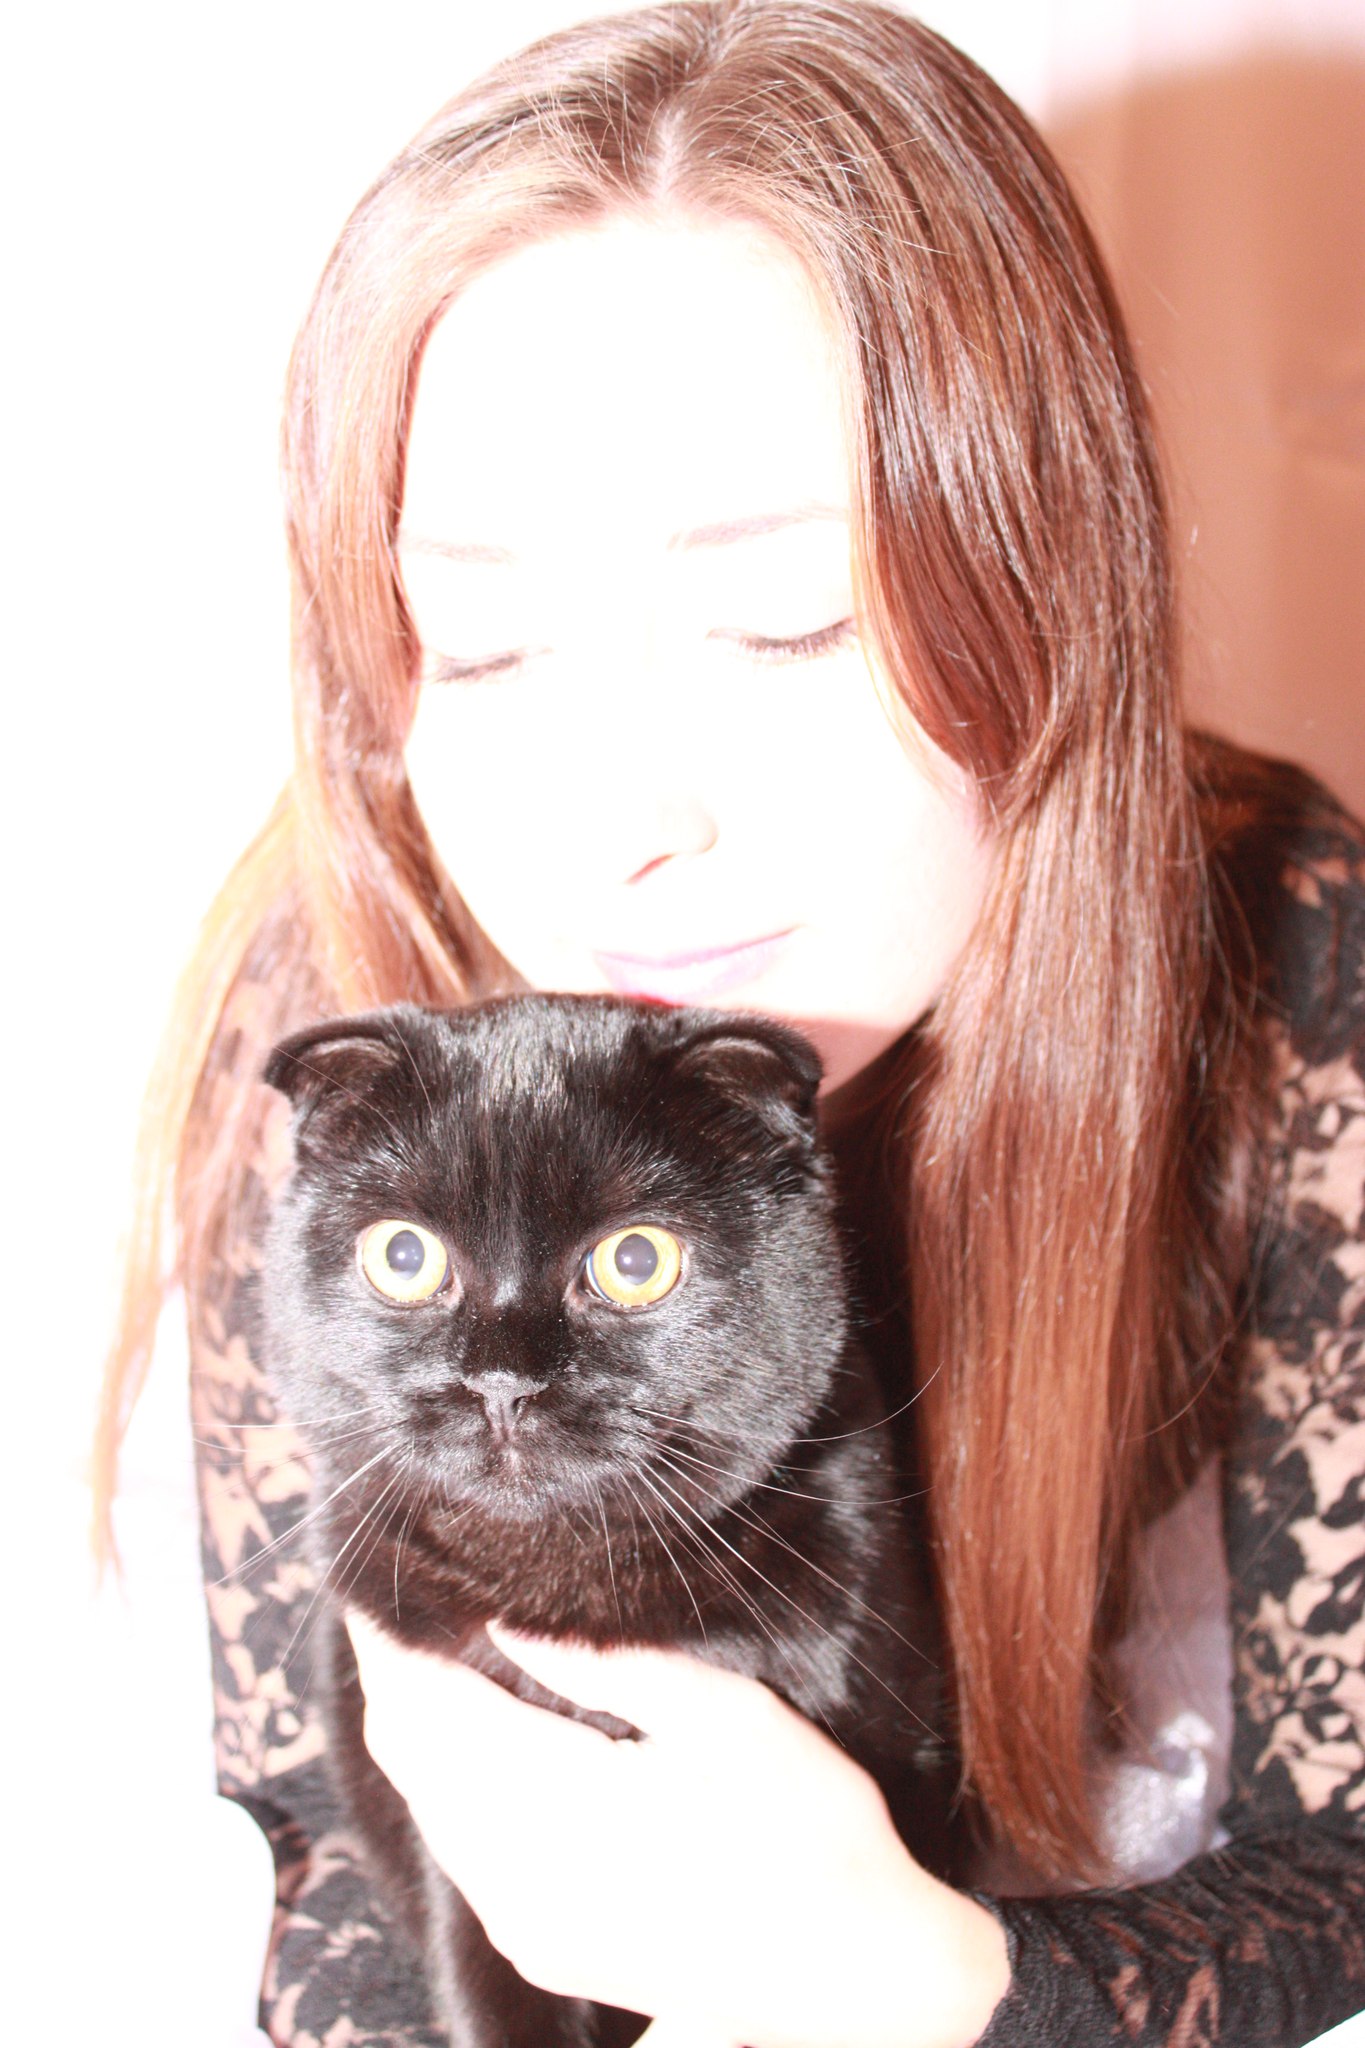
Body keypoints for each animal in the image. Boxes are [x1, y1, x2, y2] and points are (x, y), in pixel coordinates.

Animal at [262, 992, 954, 2048]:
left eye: (636, 1260)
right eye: (402, 1255)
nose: (499, 1383)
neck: (556, 1587)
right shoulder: (458, 1844)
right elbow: (488, 1993)